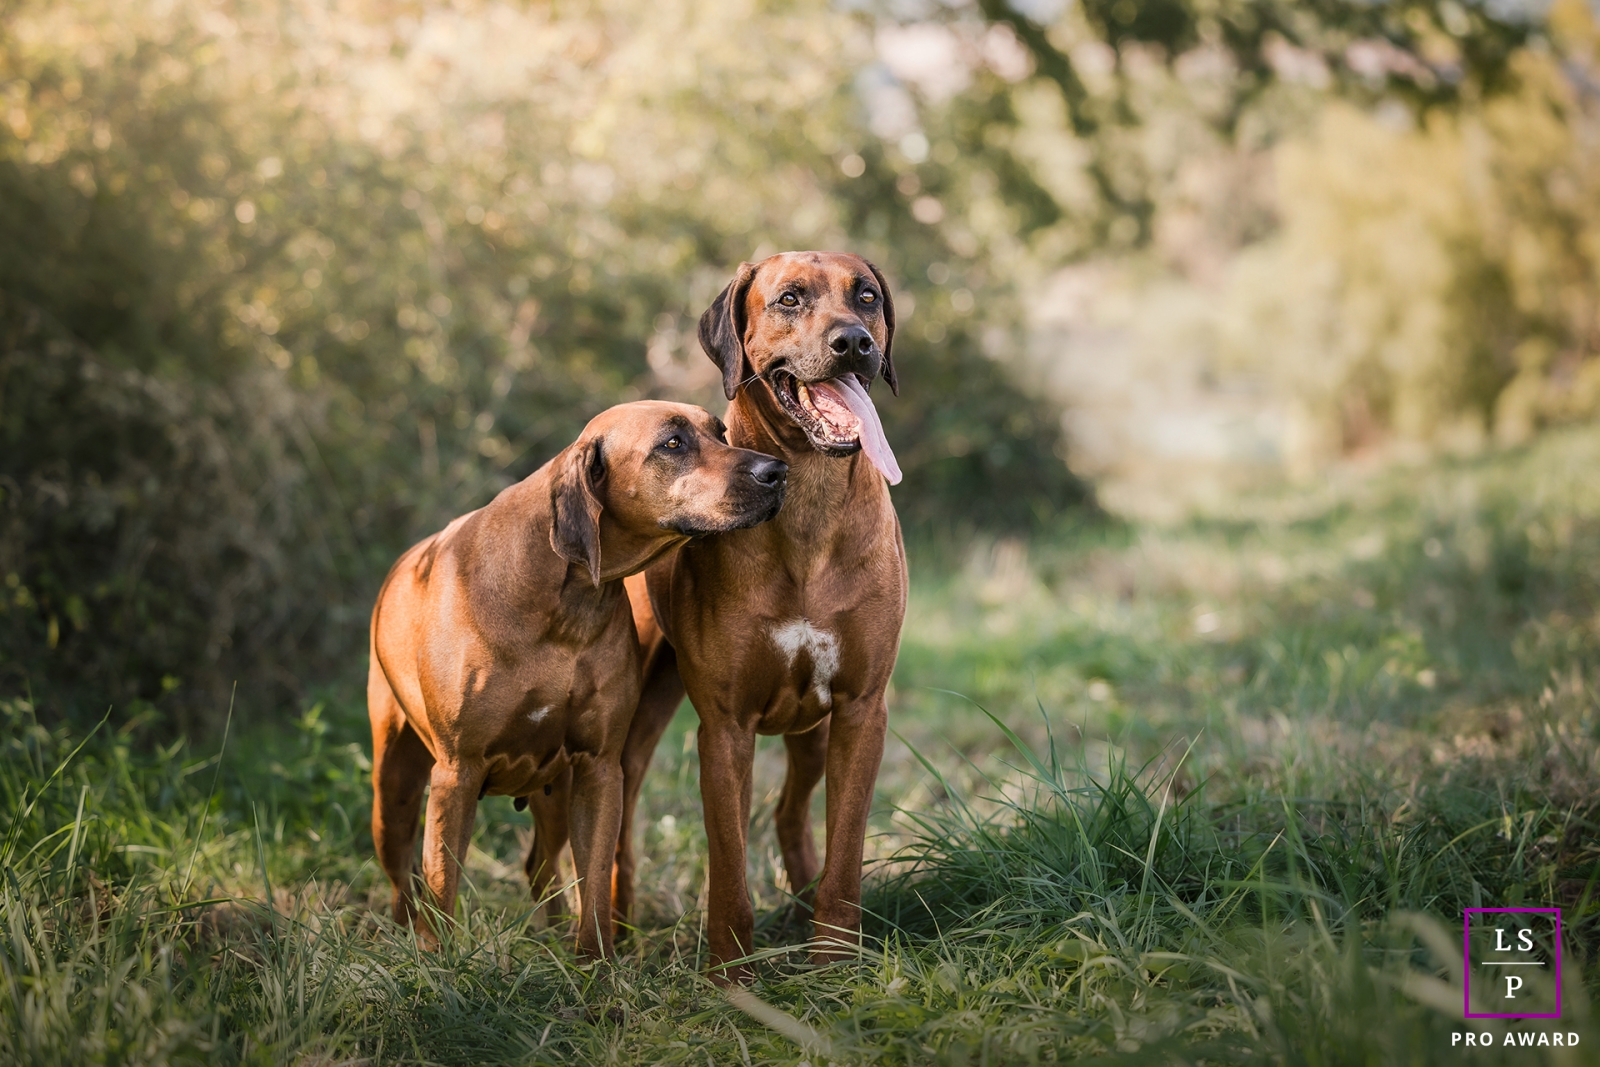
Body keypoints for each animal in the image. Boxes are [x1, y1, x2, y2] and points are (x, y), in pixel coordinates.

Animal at [364, 399, 787, 959]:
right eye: (672, 444)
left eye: (721, 432)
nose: (778, 471)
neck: (566, 599)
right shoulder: (457, 772)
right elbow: (442, 883)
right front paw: (442, 962)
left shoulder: (599, 769)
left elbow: (595, 881)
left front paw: (595, 964)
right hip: (394, 790)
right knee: (404, 878)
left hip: (554, 790)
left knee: (539, 865)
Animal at [614, 247, 908, 979]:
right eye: (789, 299)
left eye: (866, 296)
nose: (854, 344)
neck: (807, 499)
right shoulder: (724, 728)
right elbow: (728, 866)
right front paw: (733, 975)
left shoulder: (861, 709)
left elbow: (844, 850)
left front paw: (834, 961)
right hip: (635, 718)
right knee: (621, 813)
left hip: (814, 729)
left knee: (789, 810)